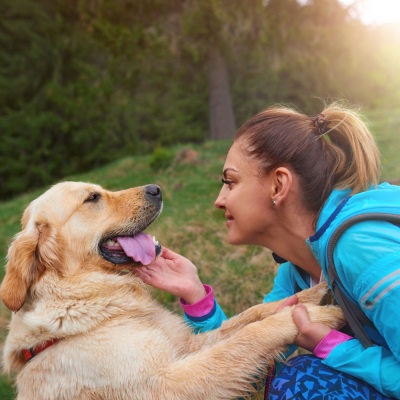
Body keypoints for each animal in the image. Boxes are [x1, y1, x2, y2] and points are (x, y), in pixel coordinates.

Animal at [0, 182, 344, 400]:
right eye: (93, 198)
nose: (156, 189)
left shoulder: (183, 346)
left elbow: (249, 318)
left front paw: (313, 294)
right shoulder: (167, 383)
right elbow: (247, 337)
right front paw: (308, 317)